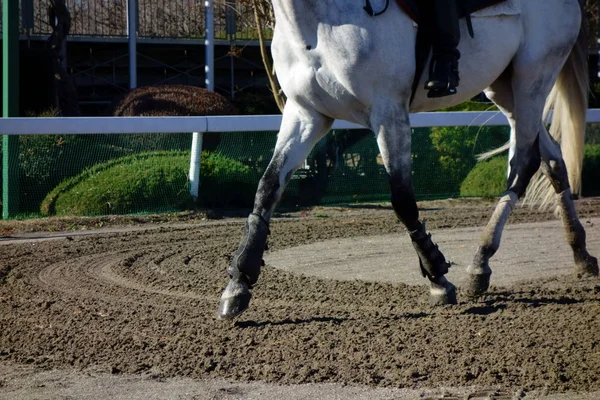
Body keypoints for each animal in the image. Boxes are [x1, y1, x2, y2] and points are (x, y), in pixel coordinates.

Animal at [218, 0, 596, 318]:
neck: (318, 23)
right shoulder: (306, 114)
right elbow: (267, 188)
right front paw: (239, 283)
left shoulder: (389, 114)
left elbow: (402, 199)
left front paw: (437, 277)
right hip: (504, 87)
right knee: (552, 160)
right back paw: (580, 254)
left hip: (533, 78)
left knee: (523, 165)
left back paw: (481, 261)